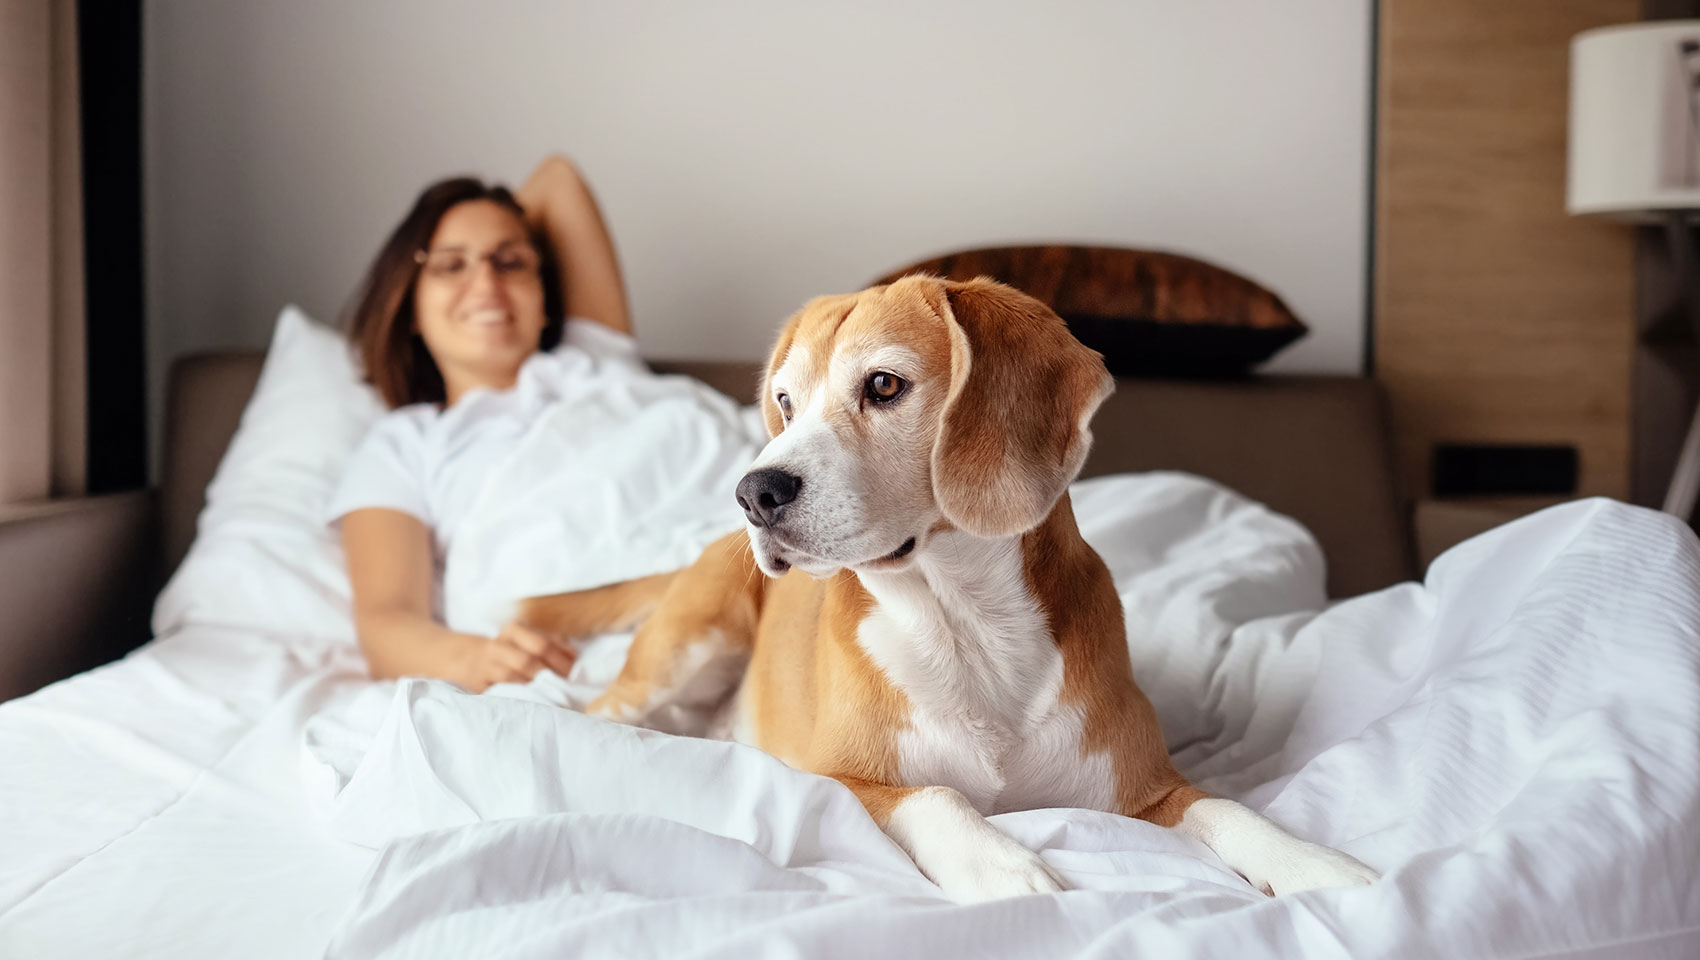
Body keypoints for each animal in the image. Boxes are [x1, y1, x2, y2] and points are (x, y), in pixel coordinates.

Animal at [520, 275, 1380, 897]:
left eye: (884, 386)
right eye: (786, 402)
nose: (753, 493)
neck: (965, 621)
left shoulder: (1149, 791)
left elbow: (1231, 808)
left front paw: (1315, 864)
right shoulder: (838, 779)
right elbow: (937, 796)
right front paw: (1002, 864)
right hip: (685, 649)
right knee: (594, 711)